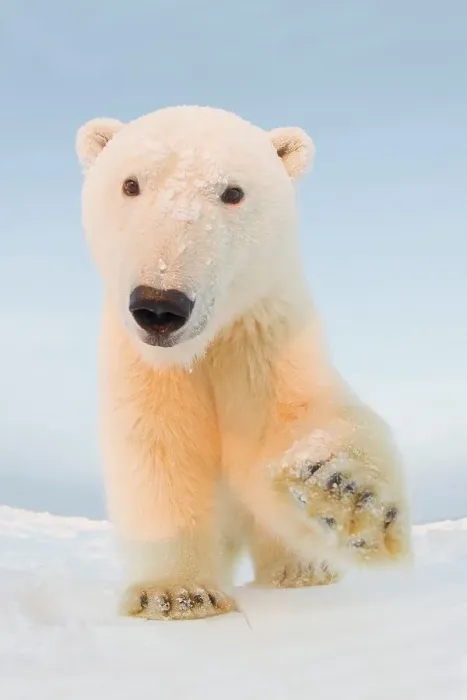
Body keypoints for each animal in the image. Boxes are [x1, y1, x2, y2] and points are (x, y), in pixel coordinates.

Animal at [75, 105, 411, 621]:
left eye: (233, 192)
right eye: (130, 184)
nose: (159, 305)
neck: (204, 348)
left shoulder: (263, 336)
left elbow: (290, 420)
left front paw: (347, 494)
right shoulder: (145, 366)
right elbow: (159, 452)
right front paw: (176, 594)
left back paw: (301, 570)